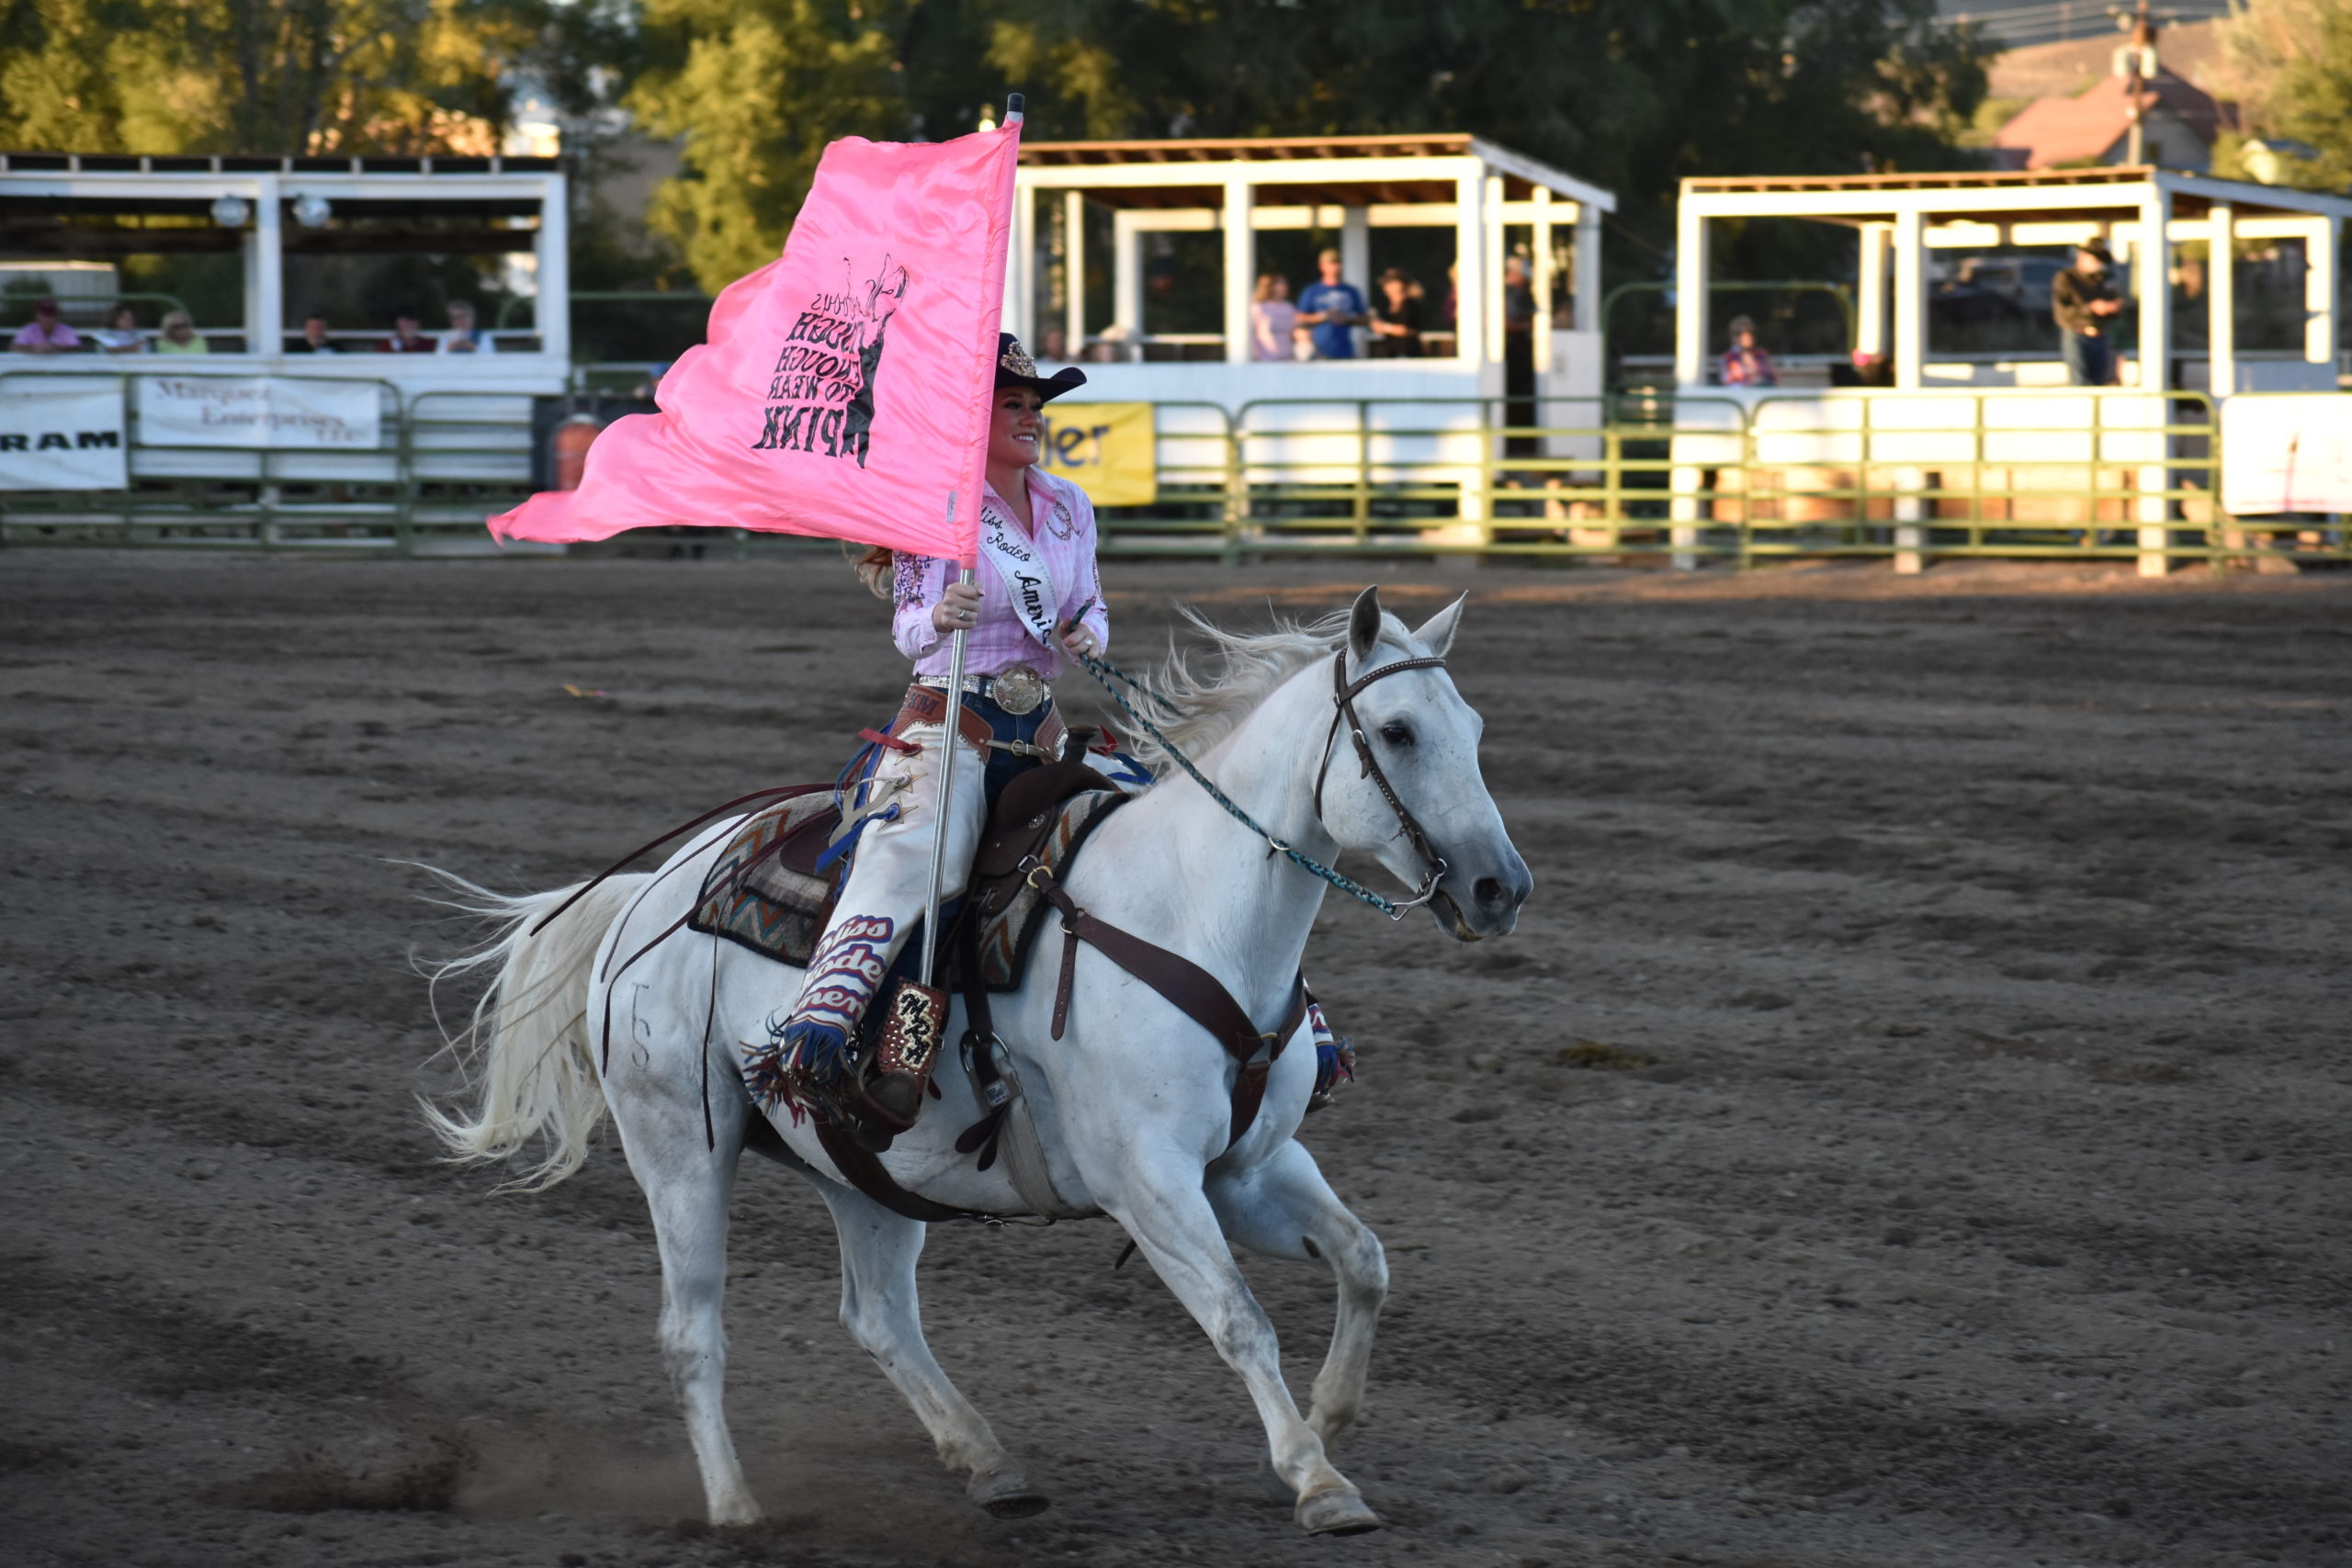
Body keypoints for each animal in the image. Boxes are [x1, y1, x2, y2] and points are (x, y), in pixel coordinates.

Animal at [430, 585, 1533, 1532]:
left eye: (1478, 730)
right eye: (1397, 731)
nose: (1500, 887)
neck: (1191, 910)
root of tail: (650, 893)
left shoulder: (1248, 1169)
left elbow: (1365, 1259)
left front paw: (1332, 1412)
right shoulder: (1151, 1181)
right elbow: (1238, 1318)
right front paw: (1316, 1477)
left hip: (859, 1162)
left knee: (877, 1314)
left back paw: (986, 1458)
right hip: (678, 1150)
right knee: (692, 1330)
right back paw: (737, 1507)